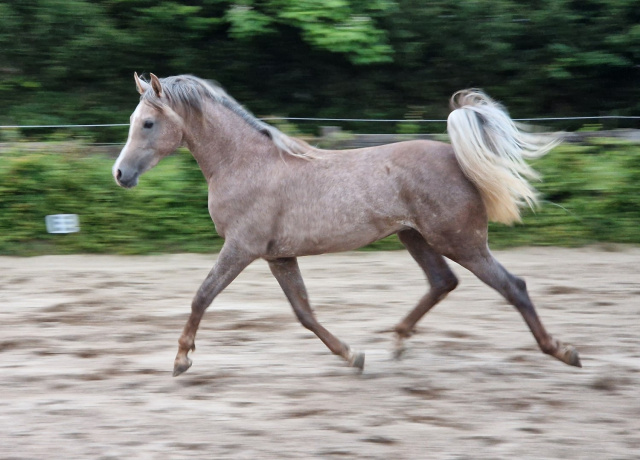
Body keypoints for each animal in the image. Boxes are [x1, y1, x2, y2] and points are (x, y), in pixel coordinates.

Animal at [112, 73, 584, 378]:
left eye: (148, 123)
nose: (120, 174)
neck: (246, 164)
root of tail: (456, 157)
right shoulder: (278, 256)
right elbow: (303, 312)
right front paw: (353, 355)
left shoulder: (241, 248)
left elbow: (202, 296)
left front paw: (181, 360)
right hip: (416, 237)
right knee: (442, 282)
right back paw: (398, 341)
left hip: (460, 241)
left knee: (512, 285)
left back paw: (563, 352)